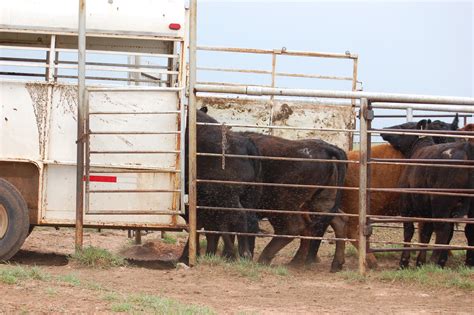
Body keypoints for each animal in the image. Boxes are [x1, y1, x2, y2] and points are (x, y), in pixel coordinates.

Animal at [181, 110, 262, 262]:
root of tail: (246, 143)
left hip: (227, 195)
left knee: (239, 217)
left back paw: (240, 253)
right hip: (247, 196)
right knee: (249, 219)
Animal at [382, 119, 474, 268]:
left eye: (404, 126)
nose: (384, 130)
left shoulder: (406, 205)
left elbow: (409, 231)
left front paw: (404, 261)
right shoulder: (425, 208)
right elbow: (426, 233)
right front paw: (420, 261)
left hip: (441, 204)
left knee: (443, 230)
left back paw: (435, 261)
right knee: (465, 230)